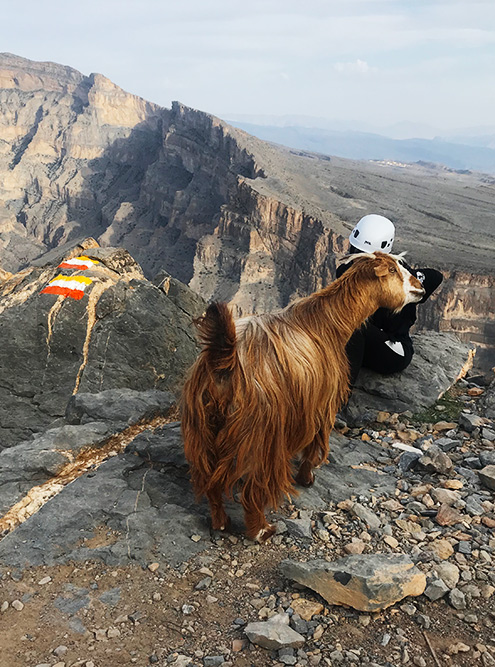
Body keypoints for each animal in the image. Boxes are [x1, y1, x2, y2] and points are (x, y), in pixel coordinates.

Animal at [182, 252, 426, 544]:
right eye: (391, 269)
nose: (420, 288)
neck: (326, 323)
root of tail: (224, 360)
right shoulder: (322, 401)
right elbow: (316, 442)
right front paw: (307, 476)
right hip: (262, 434)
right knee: (252, 490)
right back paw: (262, 530)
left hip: (203, 427)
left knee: (210, 481)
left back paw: (220, 522)